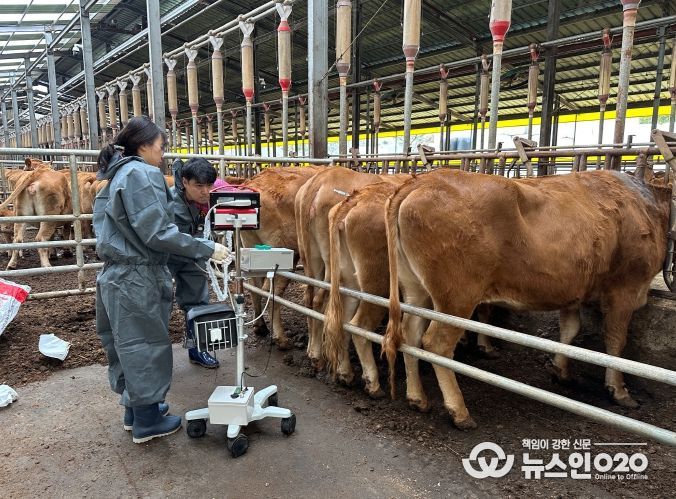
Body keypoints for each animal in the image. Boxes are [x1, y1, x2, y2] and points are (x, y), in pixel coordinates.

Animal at [240, 166, 321, 349]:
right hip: (283, 252)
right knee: (271, 291)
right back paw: (282, 339)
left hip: (251, 244)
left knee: (255, 287)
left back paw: (260, 327)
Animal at [295, 167, 408, 367]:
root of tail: (321, 178)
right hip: (334, 265)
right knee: (323, 302)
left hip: (311, 258)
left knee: (311, 299)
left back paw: (313, 351)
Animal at [382, 169, 671, 429]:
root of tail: (422, 180)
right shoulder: (626, 288)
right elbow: (615, 342)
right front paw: (619, 390)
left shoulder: (573, 290)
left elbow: (570, 330)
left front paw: (561, 372)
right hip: (457, 297)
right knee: (437, 344)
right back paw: (459, 412)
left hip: (416, 289)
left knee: (410, 334)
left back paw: (417, 398)